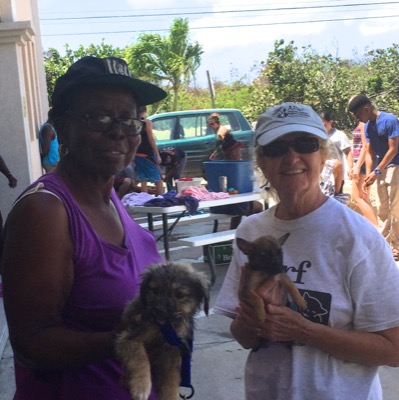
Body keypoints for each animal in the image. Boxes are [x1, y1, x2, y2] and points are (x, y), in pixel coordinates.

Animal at [115, 262, 211, 400]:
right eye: (155, 290)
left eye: (180, 295)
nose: (158, 312)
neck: (166, 328)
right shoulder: (130, 336)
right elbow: (141, 359)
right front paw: (141, 386)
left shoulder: (175, 350)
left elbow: (172, 379)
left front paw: (170, 396)